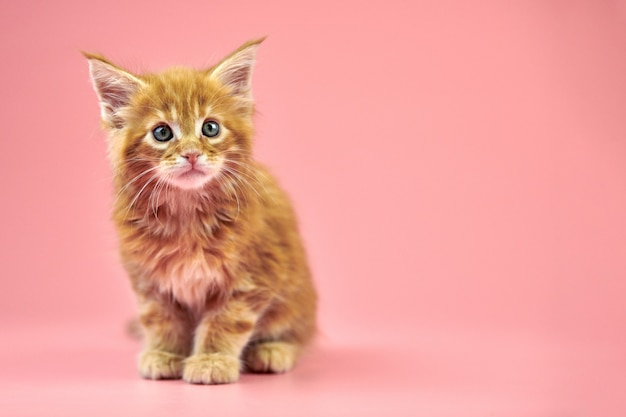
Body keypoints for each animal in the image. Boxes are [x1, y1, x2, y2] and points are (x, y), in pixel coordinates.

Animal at [84, 39, 316, 384]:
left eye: (210, 128)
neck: (187, 213)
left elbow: (226, 321)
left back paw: (274, 350)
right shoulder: (150, 281)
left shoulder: (253, 276)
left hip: (297, 297)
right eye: (162, 133)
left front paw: (212, 360)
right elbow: (161, 319)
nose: (192, 154)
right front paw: (165, 353)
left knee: (299, 333)